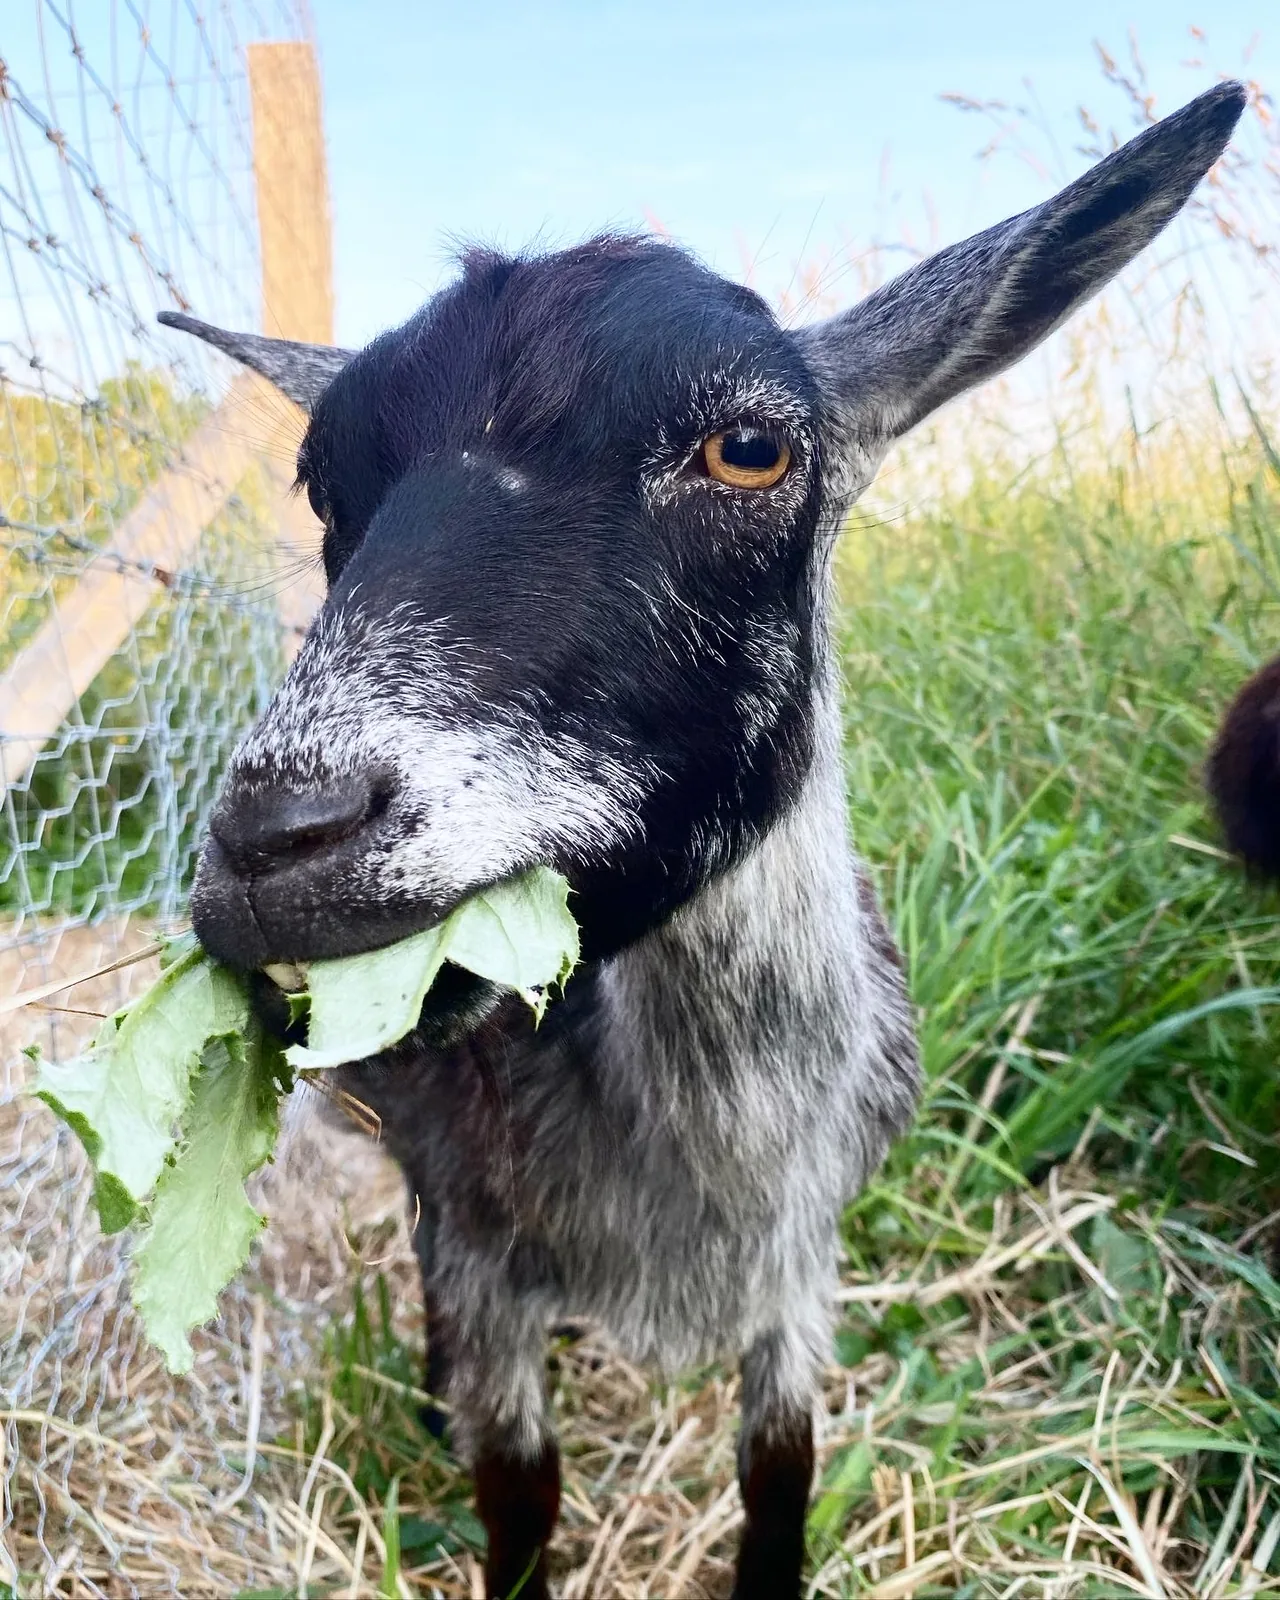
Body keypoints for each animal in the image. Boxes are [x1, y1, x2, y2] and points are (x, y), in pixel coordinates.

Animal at [162, 82, 1245, 1599]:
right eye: (325, 493)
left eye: (752, 448)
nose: (274, 844)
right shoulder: (488, 1258)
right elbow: (518, 1498)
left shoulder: (800, 1272)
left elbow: (778, 1472)